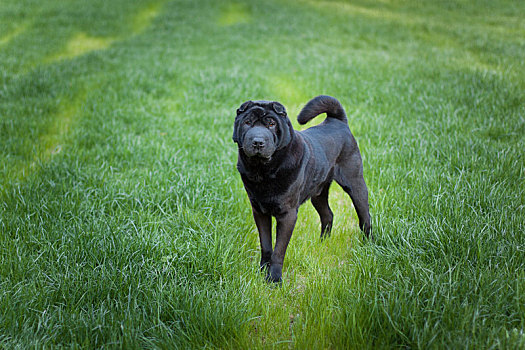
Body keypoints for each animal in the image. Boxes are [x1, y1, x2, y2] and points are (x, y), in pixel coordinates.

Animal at [233, 95, 372, 282]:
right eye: (247, 122)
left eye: (271, 123)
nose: (258, 142)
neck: (263, 171)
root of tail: (337, 121)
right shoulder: (259, 211)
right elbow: (266, 245)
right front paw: (262, 271)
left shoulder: (287, 214)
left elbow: (278, 250)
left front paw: (274, 279)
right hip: (318, 193)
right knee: (328, 215)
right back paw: (322, 244)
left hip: (355, 184)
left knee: (365, 217)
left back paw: (367, 247)